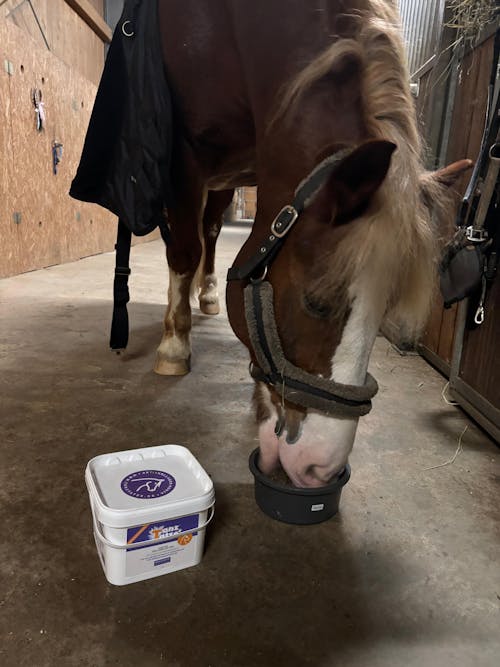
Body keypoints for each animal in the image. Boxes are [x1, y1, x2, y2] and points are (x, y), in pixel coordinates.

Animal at [153, 0, 471, 488]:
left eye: (385, 311)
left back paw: (202, 297)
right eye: (317, 303)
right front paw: (173, 348)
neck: (230, 24)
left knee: (210, 230)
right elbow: (183, 250)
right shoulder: (182, 154)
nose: (320, 468)